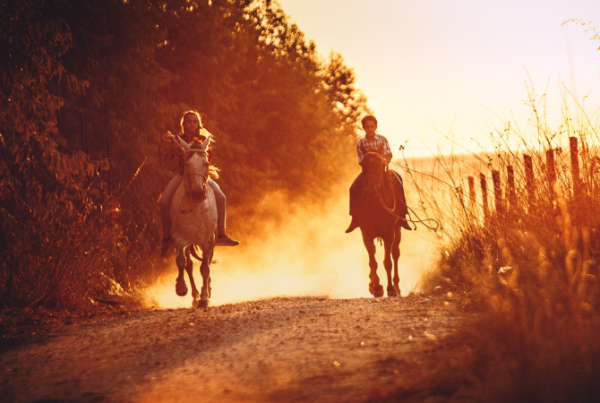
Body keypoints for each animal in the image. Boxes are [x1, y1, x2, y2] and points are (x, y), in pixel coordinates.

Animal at [170, 137, 217, 308]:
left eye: (206, 162)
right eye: (186, 163)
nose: (197, 193)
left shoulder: (208, 240)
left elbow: (205, 268)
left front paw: (205, 297)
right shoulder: (179, 239)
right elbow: (181, 262)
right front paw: (181, 288)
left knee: (205, 263)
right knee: (189, 265)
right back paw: (194, 294)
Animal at [356, 153, 404, 298]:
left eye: (379, 166)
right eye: (364, 166)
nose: (371, 190)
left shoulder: (388, 233)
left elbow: (387, 262)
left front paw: (390, 289)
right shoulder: (366, 234)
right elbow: (372, 262)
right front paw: (376, 287)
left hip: (397, 229)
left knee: (395, 253)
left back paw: (397, 286)